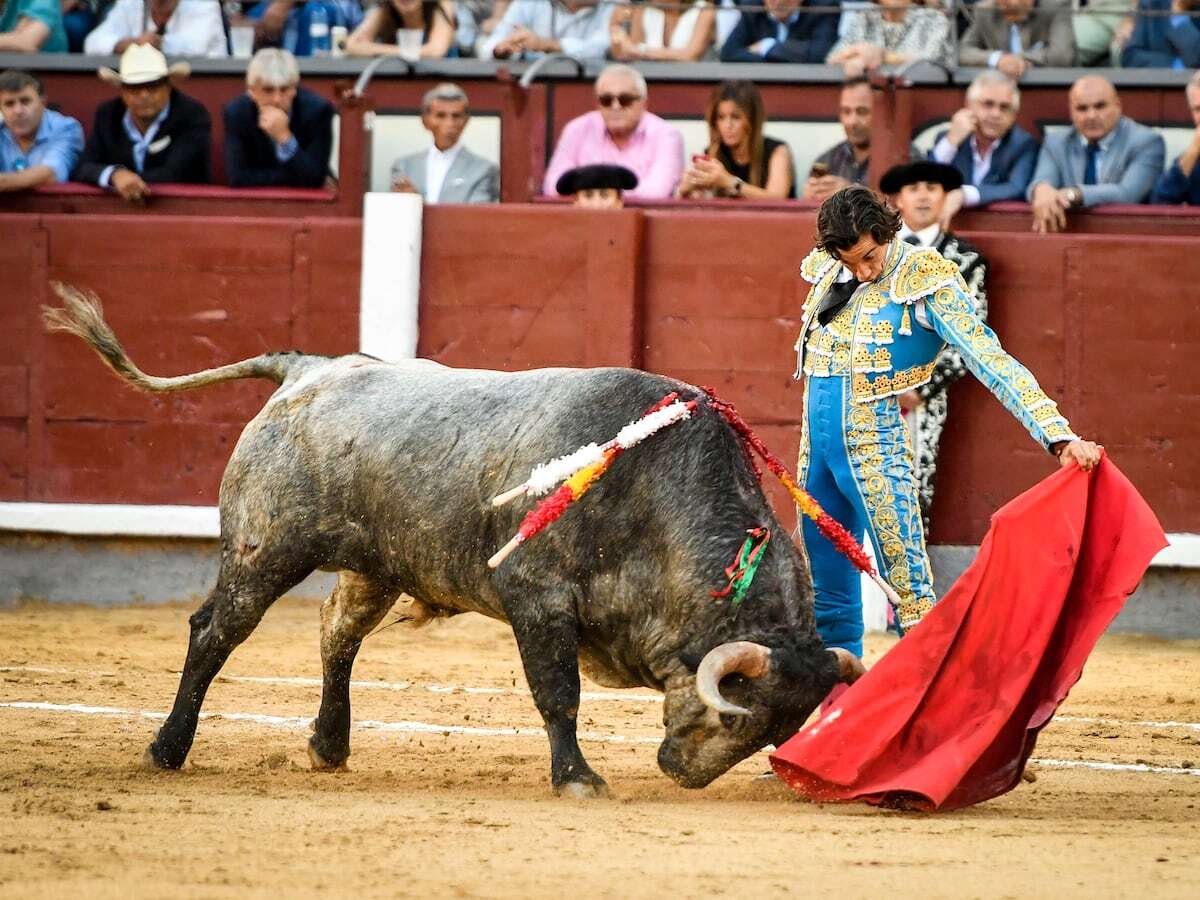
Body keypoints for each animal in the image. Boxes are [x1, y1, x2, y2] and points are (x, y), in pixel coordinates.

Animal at [42, 285, 859, 801]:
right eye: (735, 717)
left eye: (779, 730)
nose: (686, 774)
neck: (655, 495)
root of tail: (308, 369)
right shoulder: (536, 601)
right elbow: (558, 693)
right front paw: (577, 779)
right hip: (262, 550)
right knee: (214, 632)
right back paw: (167, 748)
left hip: (375, 567)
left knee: (336, 634)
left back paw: (328, 746)